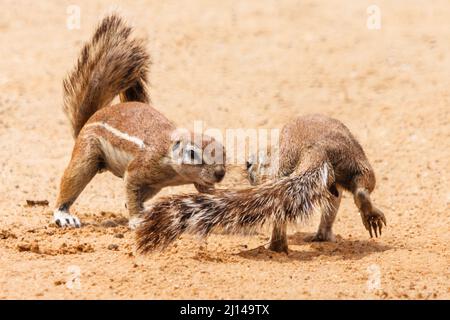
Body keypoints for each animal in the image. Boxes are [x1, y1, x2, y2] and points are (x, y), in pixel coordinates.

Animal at [54, 15, 227, 229]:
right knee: (73, 180)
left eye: (224, 152)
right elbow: (131, 187)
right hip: (87, 153)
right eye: (192, 154)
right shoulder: (140, 168)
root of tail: (89, 120)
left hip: (152, 186)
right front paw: (137, 220)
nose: (220, 173)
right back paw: (64, 214)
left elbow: (207, 190)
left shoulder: (198, 180)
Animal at [135, 114, 384, 252]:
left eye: (249, 164)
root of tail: (316, 147)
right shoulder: (329, 185)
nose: (248, 169)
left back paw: (276, 247)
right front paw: (324, 236)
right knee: (360, 187)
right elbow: (332, 204)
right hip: (353, 161)